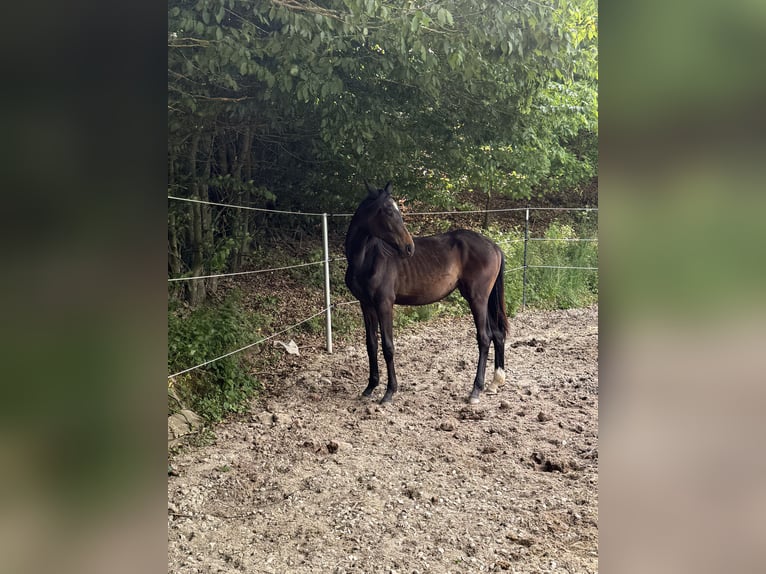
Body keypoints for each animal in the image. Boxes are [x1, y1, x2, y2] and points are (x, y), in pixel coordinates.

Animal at [344, 181, 509, 404]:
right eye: (388, 211)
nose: (408, 247)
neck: (368, 259)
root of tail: (494, 247)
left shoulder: (384, 304)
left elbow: (388, 347)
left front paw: (389, 392)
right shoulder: (366, 304)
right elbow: (371, 344)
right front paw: (370, 387)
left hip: (478, 299)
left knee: (485, 338)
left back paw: (476, 390)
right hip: (483, 299)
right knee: (498, 335)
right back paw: (494, 383)